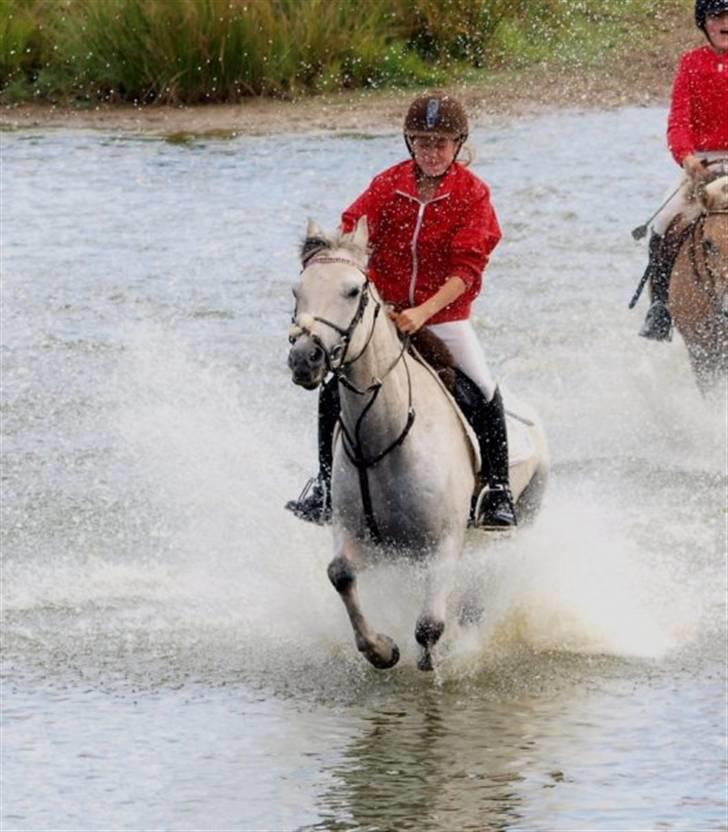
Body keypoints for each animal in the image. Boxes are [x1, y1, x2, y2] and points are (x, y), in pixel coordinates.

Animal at [288, 216, 548, 668]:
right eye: (296, 291)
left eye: (352, 291)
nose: (305, 358)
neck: (381, 435)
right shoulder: (350, 530)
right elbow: (340, 573)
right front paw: (381, 650)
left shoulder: (443, 544)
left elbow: (428, 626)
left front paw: (433, 661)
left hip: (521, 515)